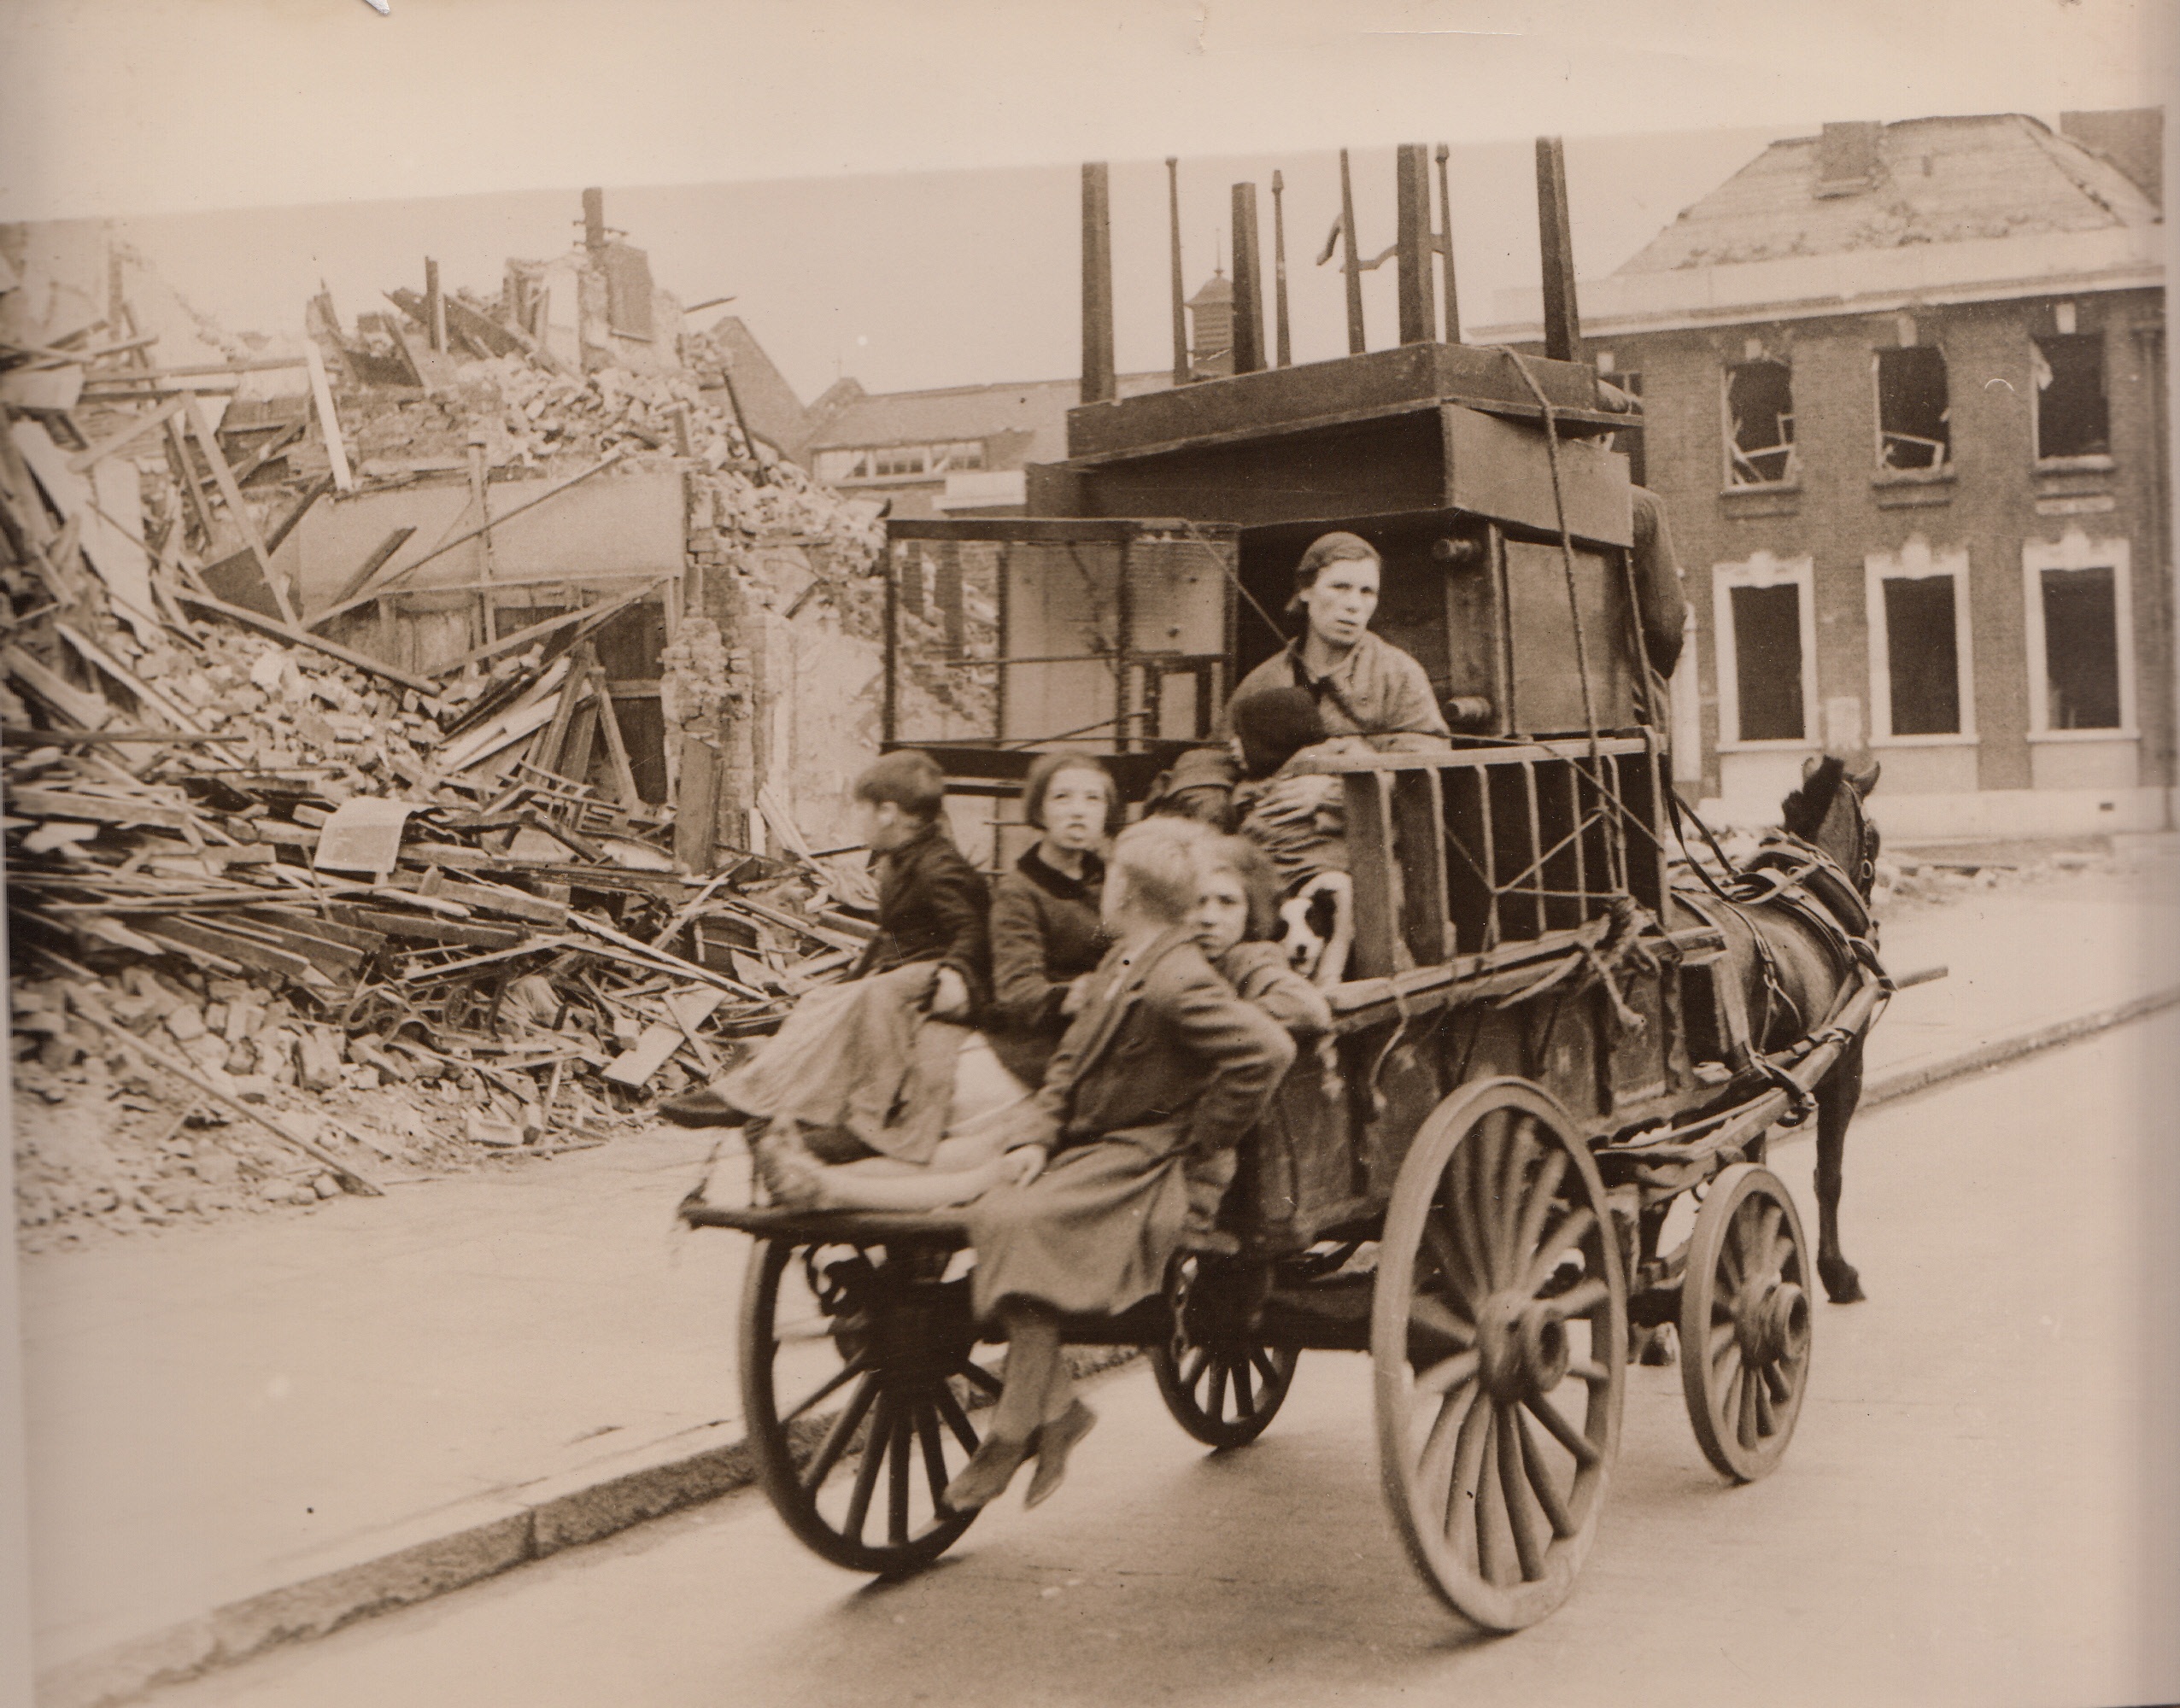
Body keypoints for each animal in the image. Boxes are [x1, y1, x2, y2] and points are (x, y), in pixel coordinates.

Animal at [1665, 753, 1892, 1298]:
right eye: (1873, 836)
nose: (1872, 920)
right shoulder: (1844, 1070)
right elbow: (1828, 1176)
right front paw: (1836, 1272)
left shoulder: (1755, 1095)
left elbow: (1753, 1165)